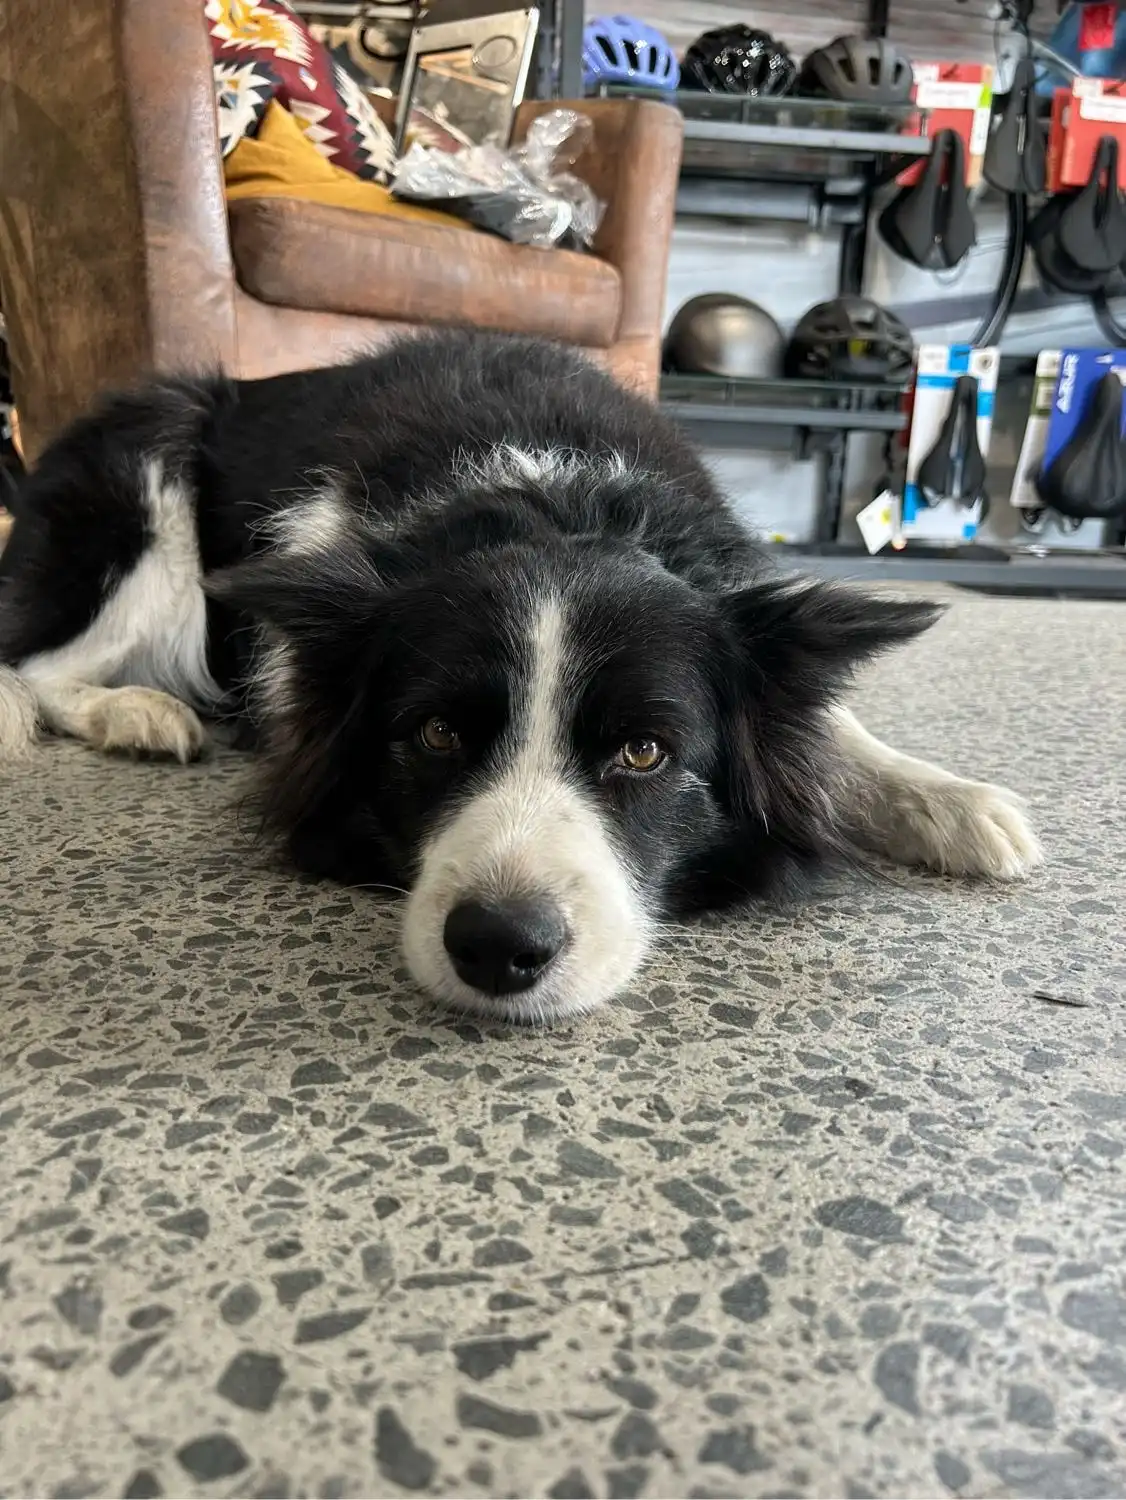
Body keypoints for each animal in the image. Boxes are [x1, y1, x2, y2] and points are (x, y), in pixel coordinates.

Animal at [0, 330, 1041, 1022]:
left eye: (645, 752)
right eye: (435, 735)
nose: (499, 949)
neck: (554, 504)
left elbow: (826, 726)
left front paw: (949, 802)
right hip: (148, 490)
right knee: (42, 661)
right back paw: (132, 711)